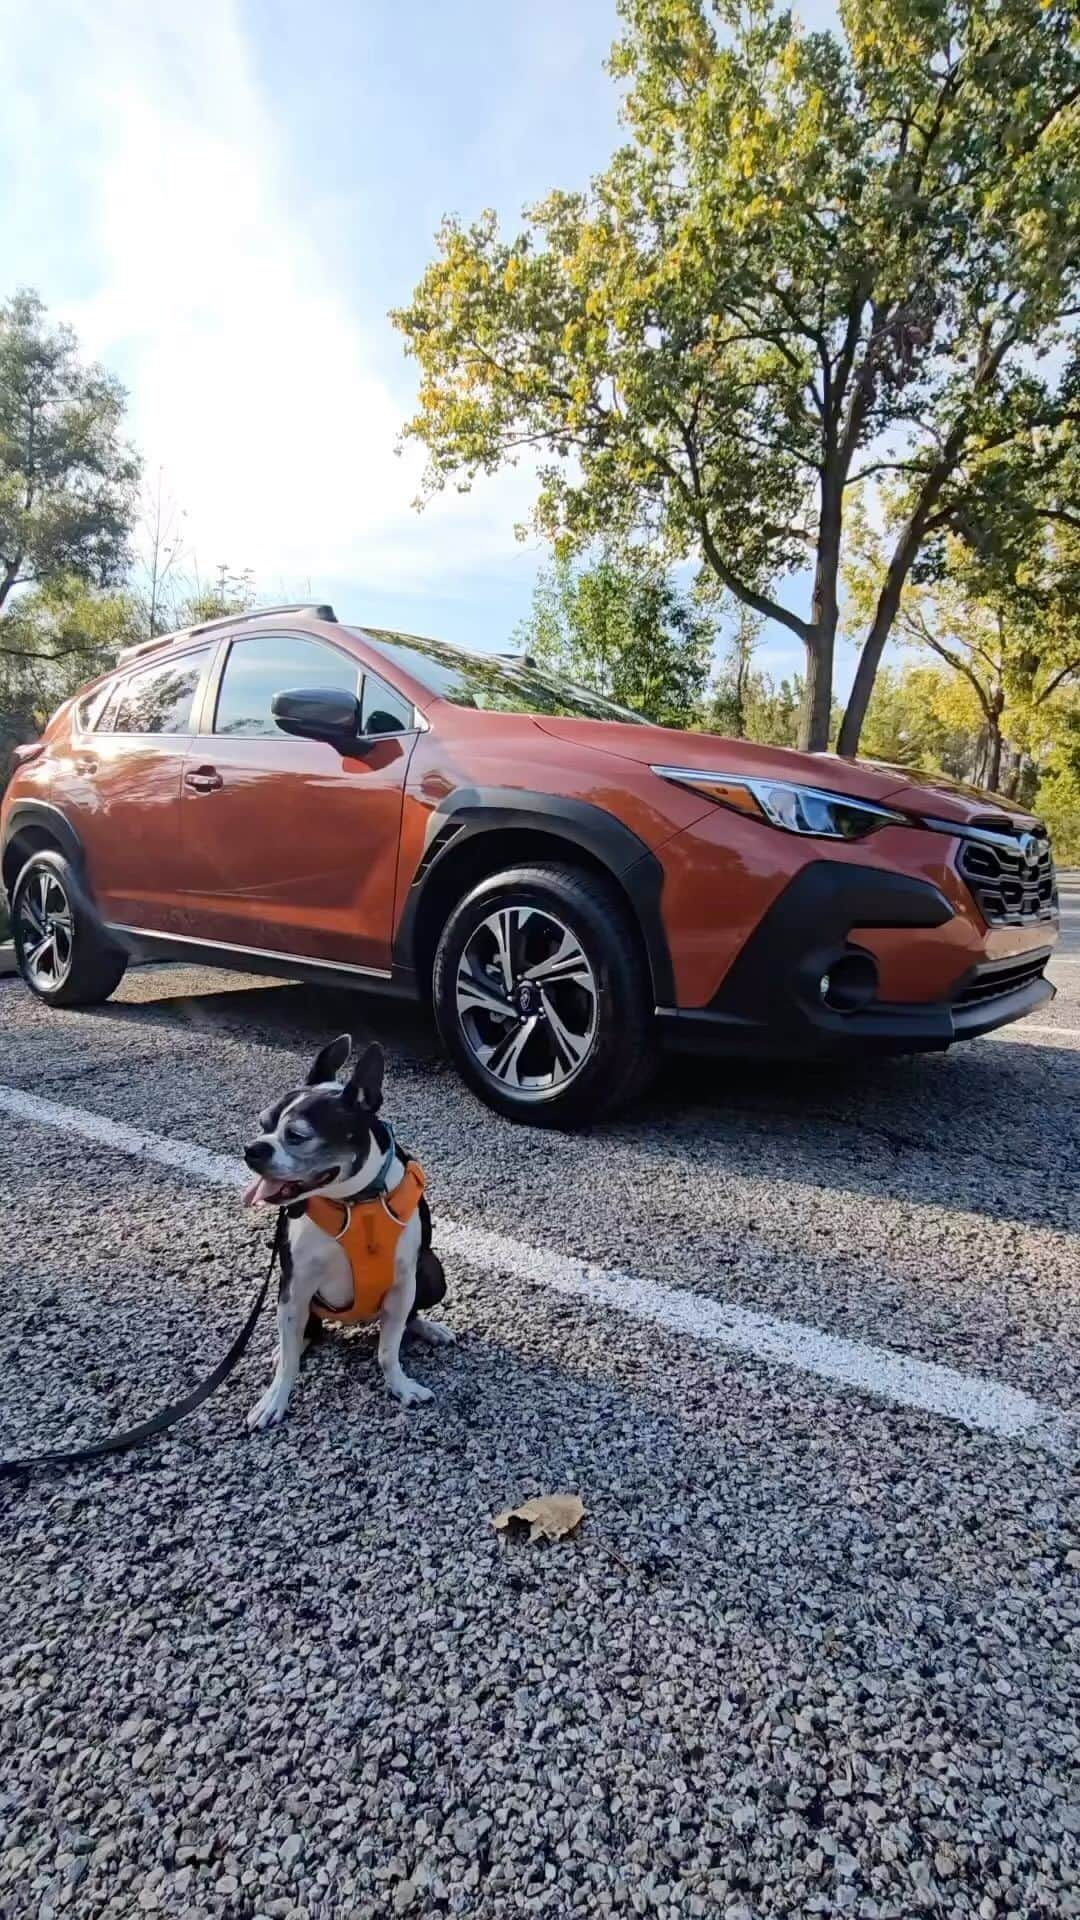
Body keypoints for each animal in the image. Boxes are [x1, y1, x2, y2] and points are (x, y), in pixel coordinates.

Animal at [240, 1036, 449, 1428]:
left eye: (297, 1136)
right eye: (262, 1123)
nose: (252, 1148)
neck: (355, 1202)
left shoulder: (403, 1284)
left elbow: (387, 1350)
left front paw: (401, 1386)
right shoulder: (294, 1287)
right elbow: (289, 1363)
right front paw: (275, 1399)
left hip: (432, 1273)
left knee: (407, 1318)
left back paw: (428, 1328)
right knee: (302, 1336)